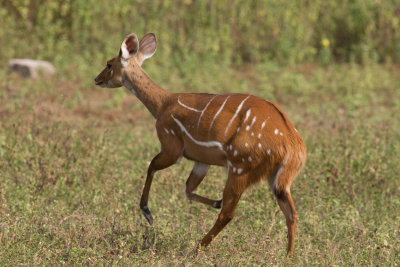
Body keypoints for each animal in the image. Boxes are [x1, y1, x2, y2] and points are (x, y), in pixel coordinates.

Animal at [94, 33, 306, 258]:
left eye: (109, 64)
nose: (96, 79)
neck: (163, 104)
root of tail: (294, 148)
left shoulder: (172, 147)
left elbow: (151, 166)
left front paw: (148, 213)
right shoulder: (201, 161)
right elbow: (188, 189)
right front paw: (214, 201)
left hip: (240, 168)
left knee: (228, 214)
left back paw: (196, 248)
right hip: (276, 179)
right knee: (291, 213)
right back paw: (288, 255)